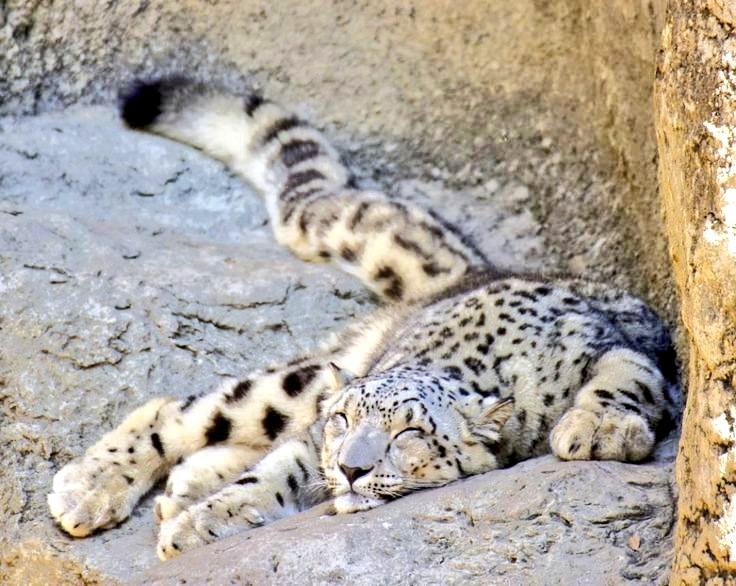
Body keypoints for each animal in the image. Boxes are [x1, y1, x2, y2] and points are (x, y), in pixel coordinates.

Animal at [47, 77, 680, 561]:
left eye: (409, 433)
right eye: (344, 422)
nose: (351, 469)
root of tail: (470, 273)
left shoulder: (622, 345)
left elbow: (630, 375)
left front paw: (596, 429)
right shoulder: (315, 437)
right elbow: (277, 472)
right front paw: (201, 525)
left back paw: (181, 487)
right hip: (299, 382)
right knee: (186, 411)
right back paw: (90, 490)